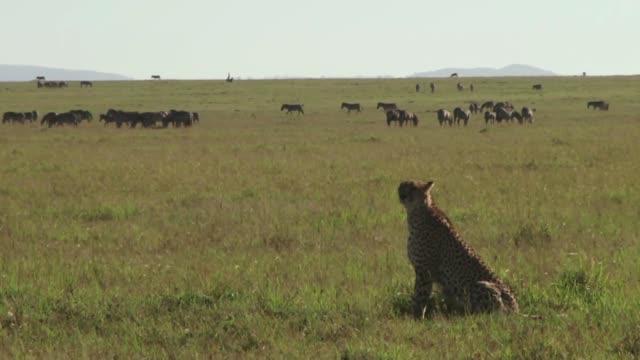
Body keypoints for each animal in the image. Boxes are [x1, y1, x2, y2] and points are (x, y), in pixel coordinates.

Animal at [398, 180, 516, 318]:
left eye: (412, 187)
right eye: (401, 186)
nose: (401, 193)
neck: (417, 212)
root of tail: (516, 309)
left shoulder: (424, 271)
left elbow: (420, 295)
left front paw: (415, 316)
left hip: (480, 285)